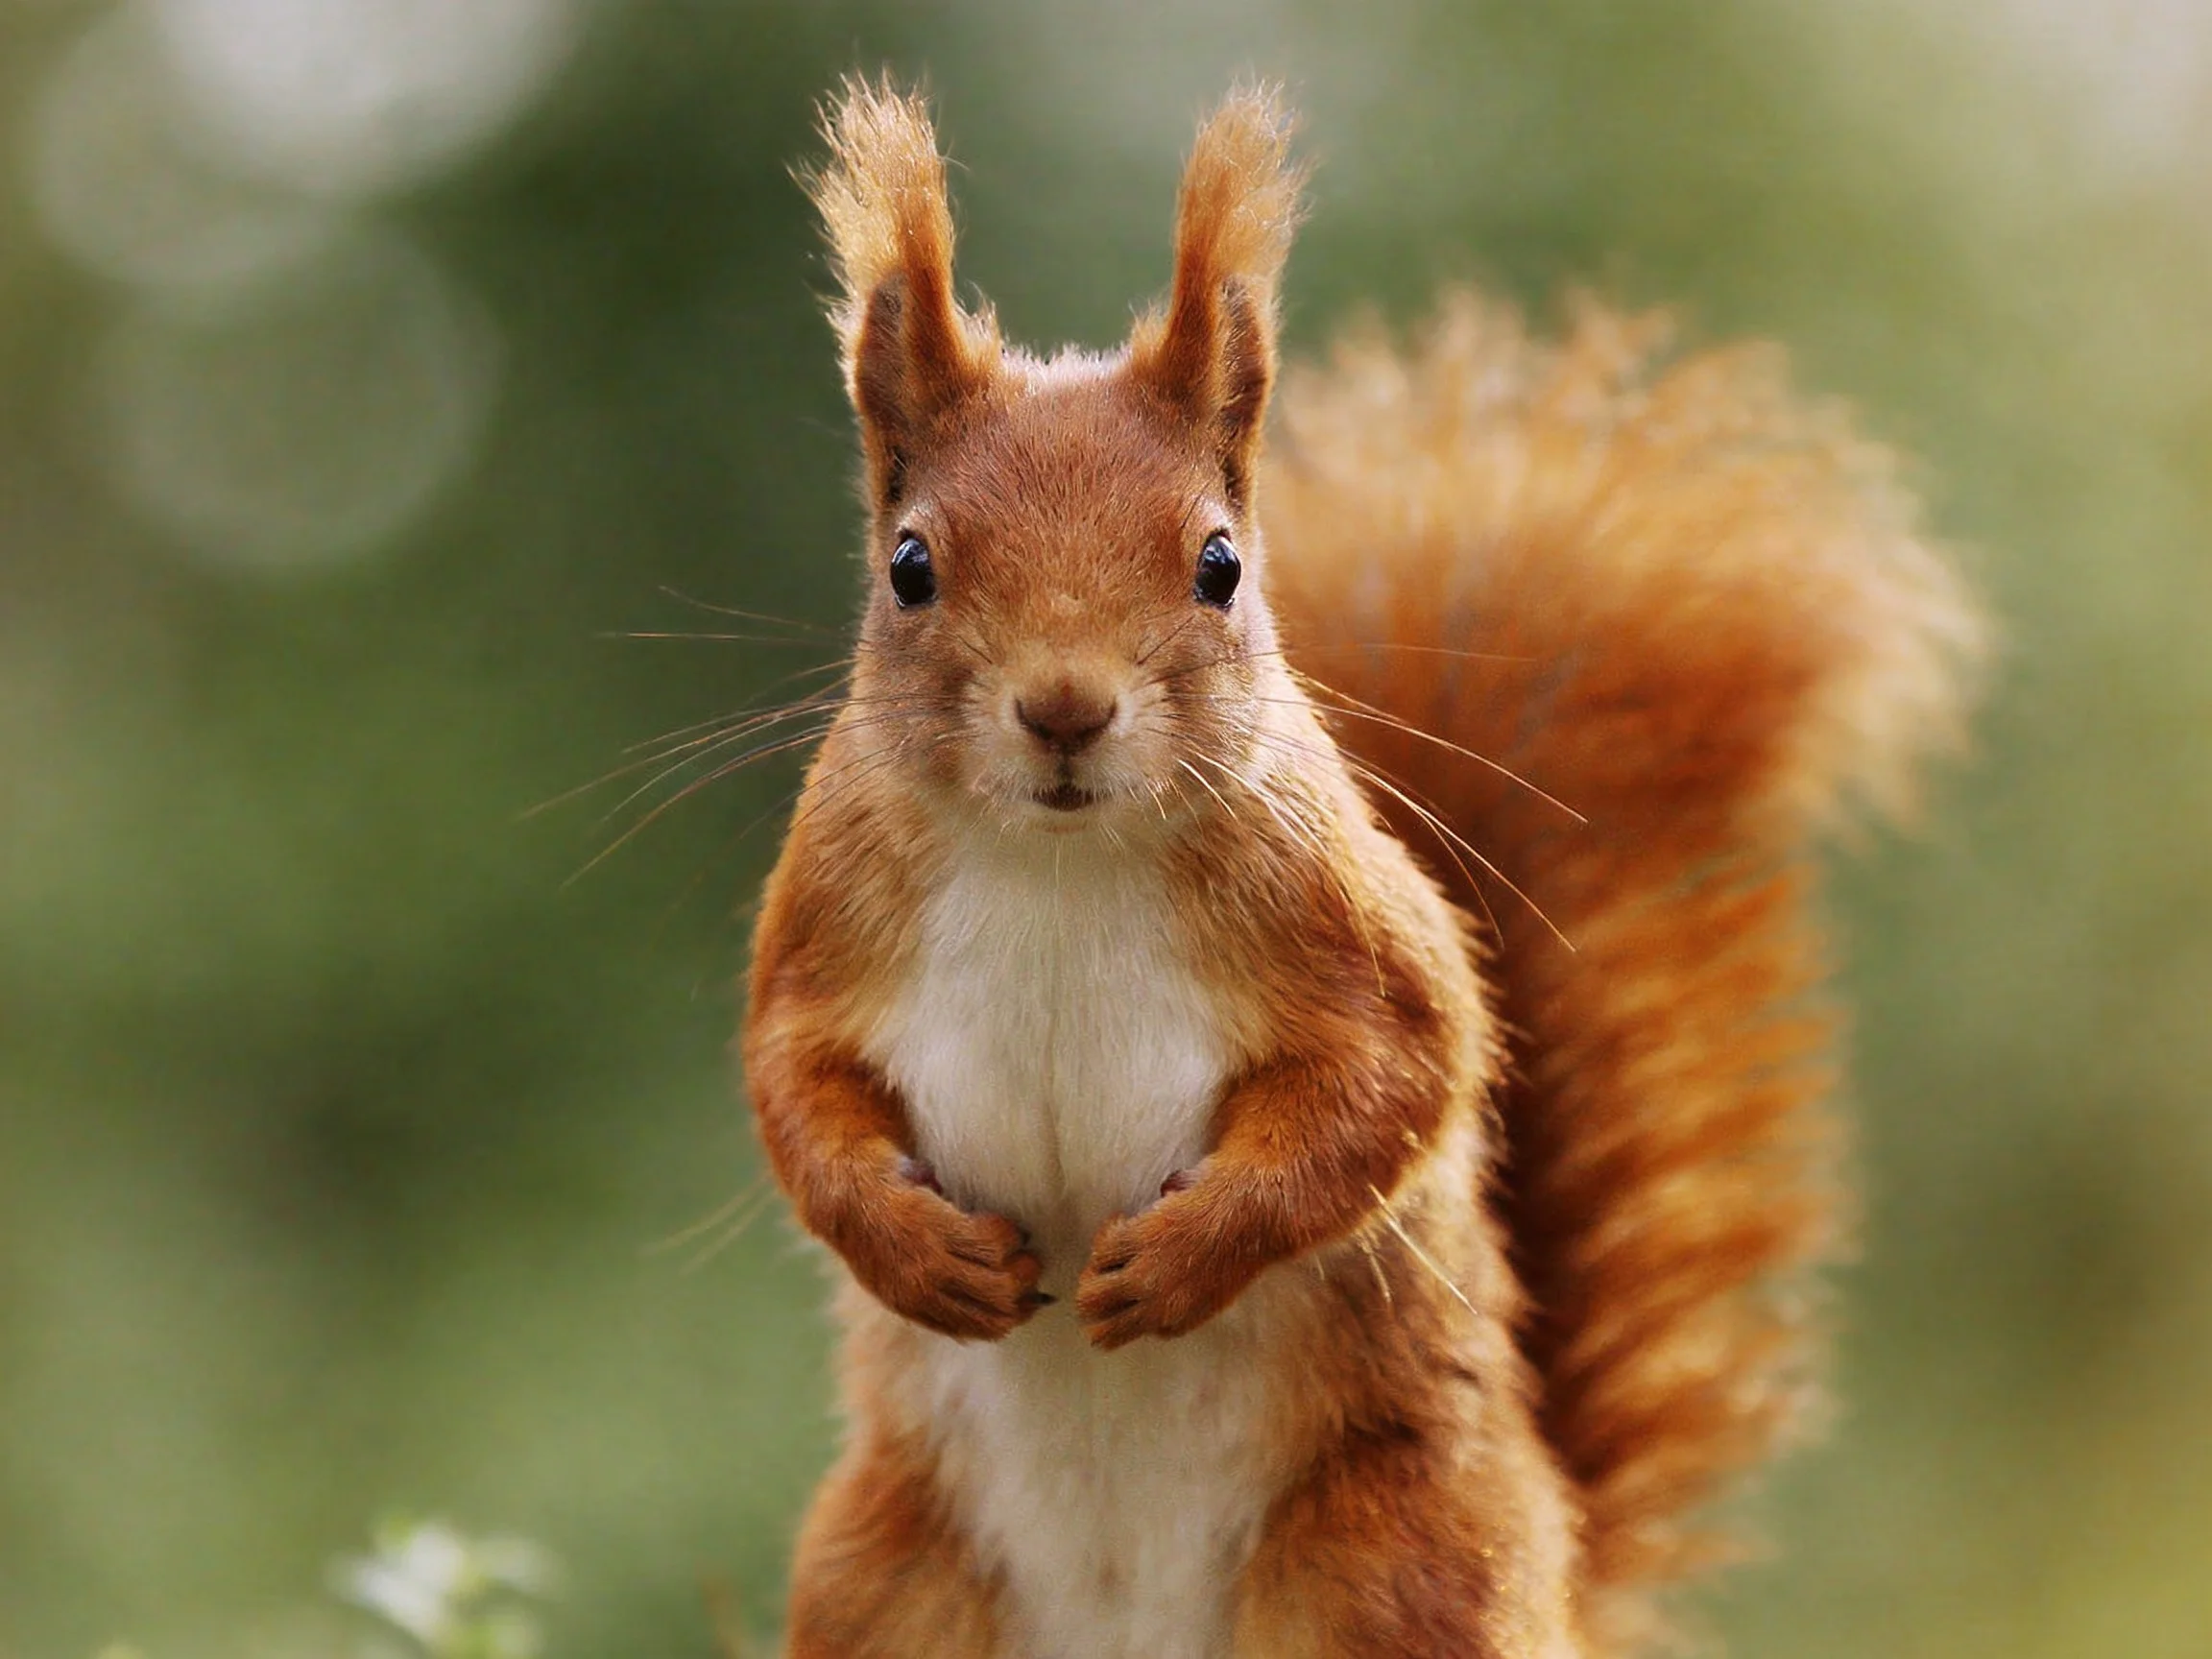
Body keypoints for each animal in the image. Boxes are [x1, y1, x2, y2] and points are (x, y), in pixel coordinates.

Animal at [739, 78, 1979, 1659]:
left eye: (1219, 565)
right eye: (909, 567)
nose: (1065, 709)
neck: (1060, 863)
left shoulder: (1339, 919)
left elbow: (1402, 1074)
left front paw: (1183, 1260)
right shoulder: (829, 916)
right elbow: (791, 1088)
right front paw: (915, 1253)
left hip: (1395, 1562)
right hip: (886, 1581)